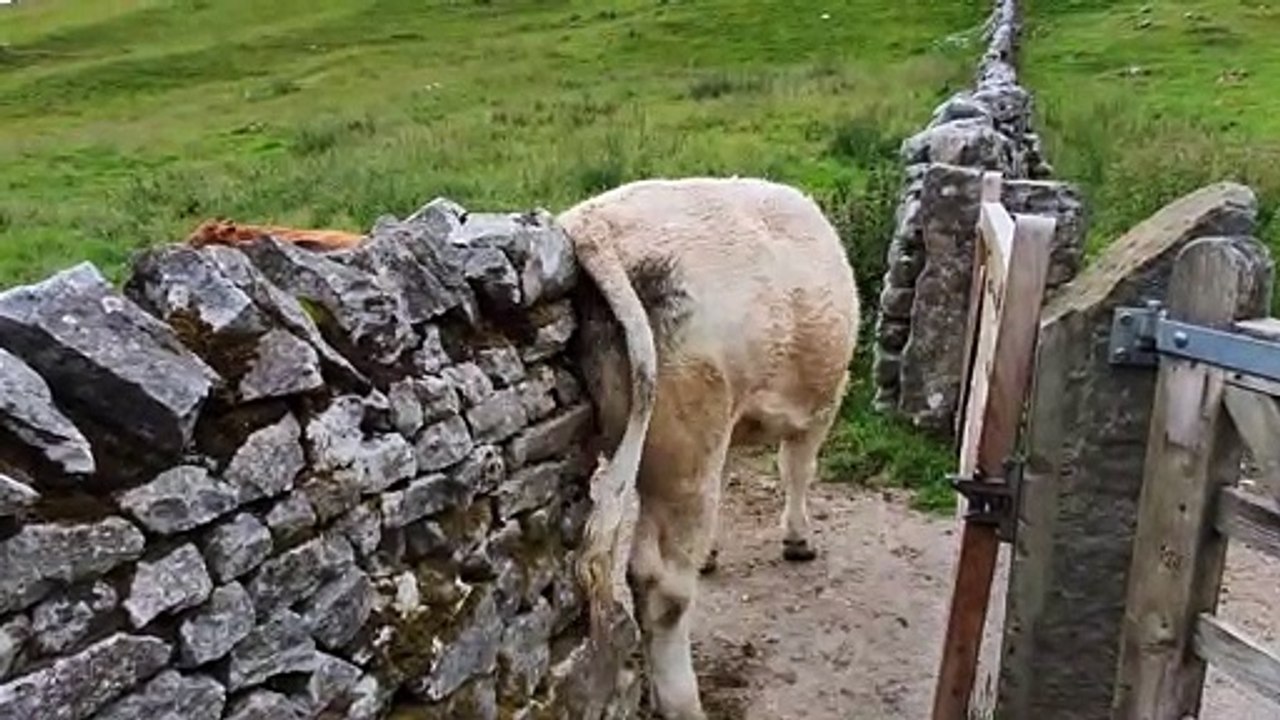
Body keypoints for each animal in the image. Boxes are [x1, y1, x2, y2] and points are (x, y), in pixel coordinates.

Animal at [562, 177, 859, 720]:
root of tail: (595, 221)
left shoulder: (731, 429)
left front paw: (714, 552)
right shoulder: (822, 408)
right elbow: (797, 470)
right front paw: (798, 538)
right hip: (688, 447)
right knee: (661, 585)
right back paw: (682, 701)